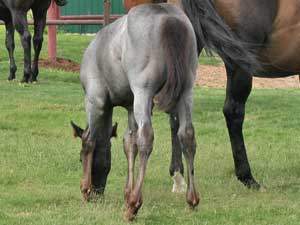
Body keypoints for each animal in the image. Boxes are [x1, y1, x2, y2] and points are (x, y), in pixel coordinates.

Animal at [71, 2, 199, 220]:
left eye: (79, 160)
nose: (98, 193)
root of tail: (168, 17)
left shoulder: (95, 101)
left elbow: (89, 140)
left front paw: (86, 188)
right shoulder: (131, 106)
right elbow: (130, 143)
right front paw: (126, 191)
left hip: (143, 92)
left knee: (147, 136)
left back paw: (134, 204)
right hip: (185, 92)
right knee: (187, 135)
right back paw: (191, 200)